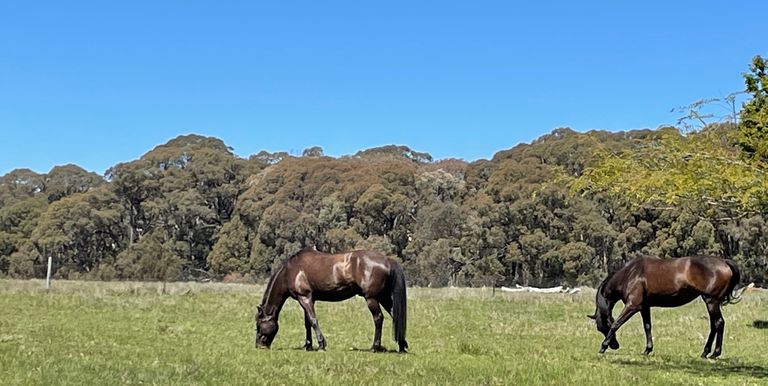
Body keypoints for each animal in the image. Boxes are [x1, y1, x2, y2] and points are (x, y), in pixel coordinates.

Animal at [255, 250, 408, 352]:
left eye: (258, 325)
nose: (259, 346)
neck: (291, 271)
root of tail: (387, 259)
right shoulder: (308, 299)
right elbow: (307, 323)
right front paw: (308, 345)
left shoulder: (304, 298)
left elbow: (313, 320)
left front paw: (321, 344)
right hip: (383, 297)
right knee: (395, 315)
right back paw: (402, 345)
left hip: (372, 298)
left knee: (378, 318)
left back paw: (375, 347)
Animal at [588, 255, 736, 358]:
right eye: (599, 329)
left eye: (605, 326)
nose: (615, 345)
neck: (630, 274)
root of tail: (724, 262)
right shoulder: (644, 307)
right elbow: (647, 327)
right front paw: (647, 350)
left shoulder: (632, 306)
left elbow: (617, 324)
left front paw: (602, 347)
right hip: (710, 303)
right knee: (714, 325)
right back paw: (705, 353)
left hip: (711, 302)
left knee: (719, 323)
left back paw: (715, 353)